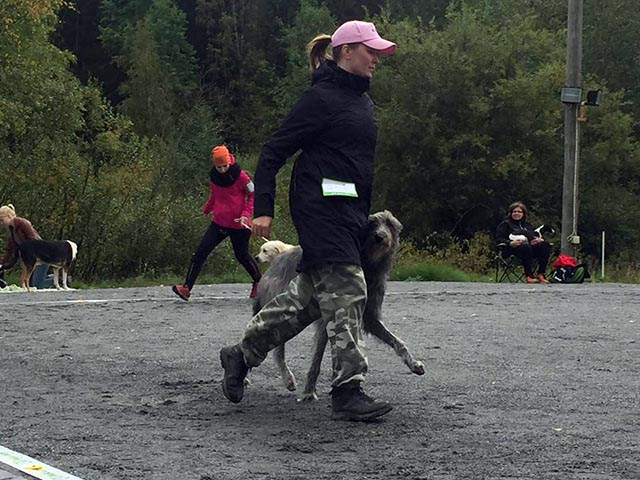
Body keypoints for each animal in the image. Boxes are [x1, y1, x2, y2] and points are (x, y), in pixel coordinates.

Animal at [251, 210, 424, 402]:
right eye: (372, 223)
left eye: (390, 224)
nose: (380, 237)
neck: (367, 264)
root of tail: (276, 261)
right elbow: (318, 357)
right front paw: (309, 391)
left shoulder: (369, 315)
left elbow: (395, 340)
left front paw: (414, 363)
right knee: (274, 345)